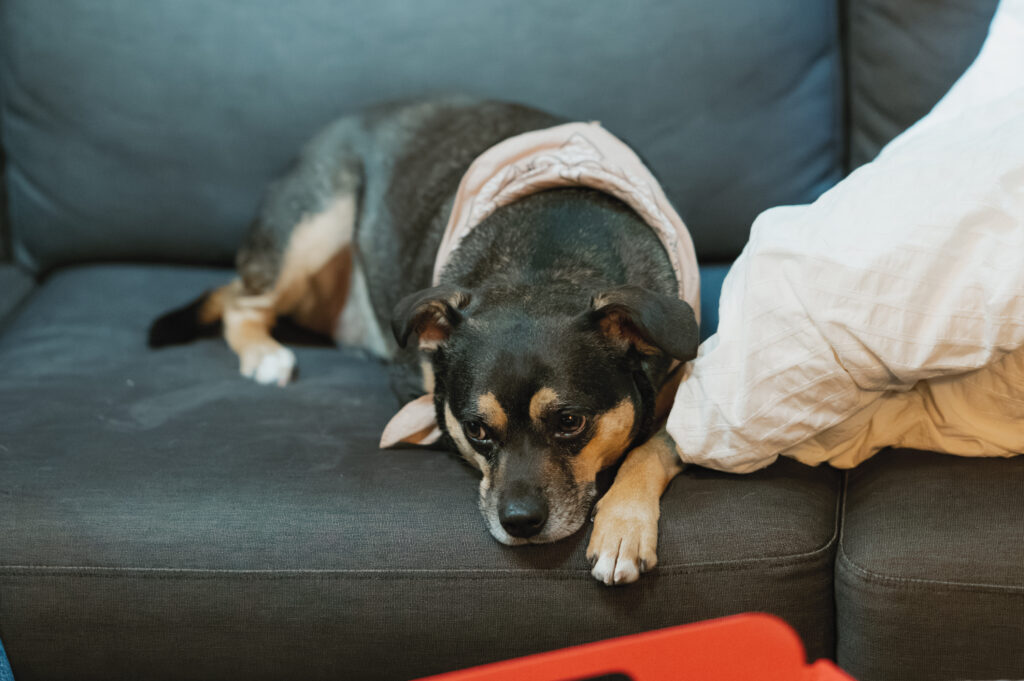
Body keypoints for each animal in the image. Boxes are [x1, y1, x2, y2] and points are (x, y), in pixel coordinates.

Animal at [148, 96, 700, 585]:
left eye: (570, 422)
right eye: (476, 430)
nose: (519, 522)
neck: (548, 268)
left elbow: (654, 445)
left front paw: (622, 528)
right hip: (314, 223)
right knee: (242, 302)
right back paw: (266, 355)